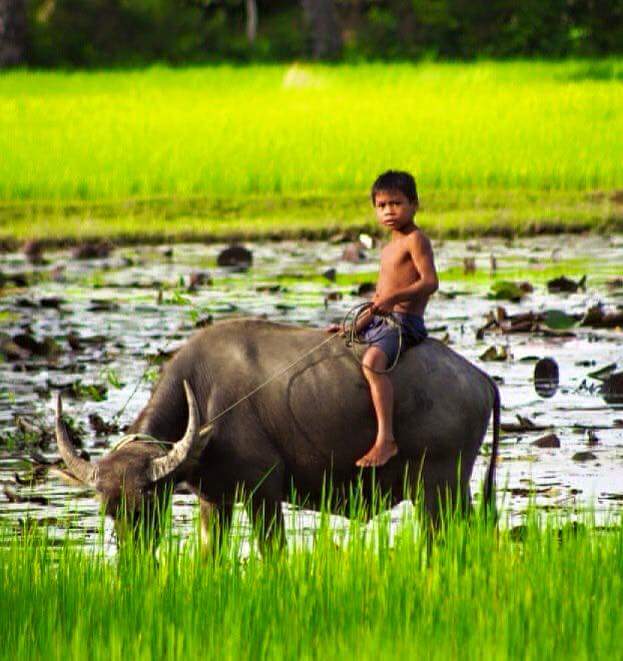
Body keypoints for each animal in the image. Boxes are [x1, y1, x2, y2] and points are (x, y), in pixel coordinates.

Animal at [55, 318, 500, 551]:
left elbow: (273, 552)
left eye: (147, 504)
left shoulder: (264, 492)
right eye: (110, 511)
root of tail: (479, 377)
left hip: (439, 486)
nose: (134, 563)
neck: (205, 400)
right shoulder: (214, 499)